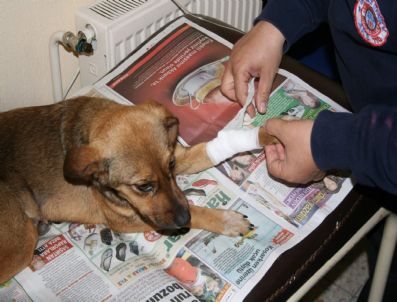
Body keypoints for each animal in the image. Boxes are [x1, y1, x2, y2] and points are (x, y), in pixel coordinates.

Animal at [0, 96, 270, 284]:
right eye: (143, 186)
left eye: (171, 165)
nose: (183, 220)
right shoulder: (125, 220)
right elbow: (198, 211)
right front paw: (227, 221)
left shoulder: (181, 157)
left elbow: (207, 150)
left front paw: (264, 136)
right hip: (21, 242)